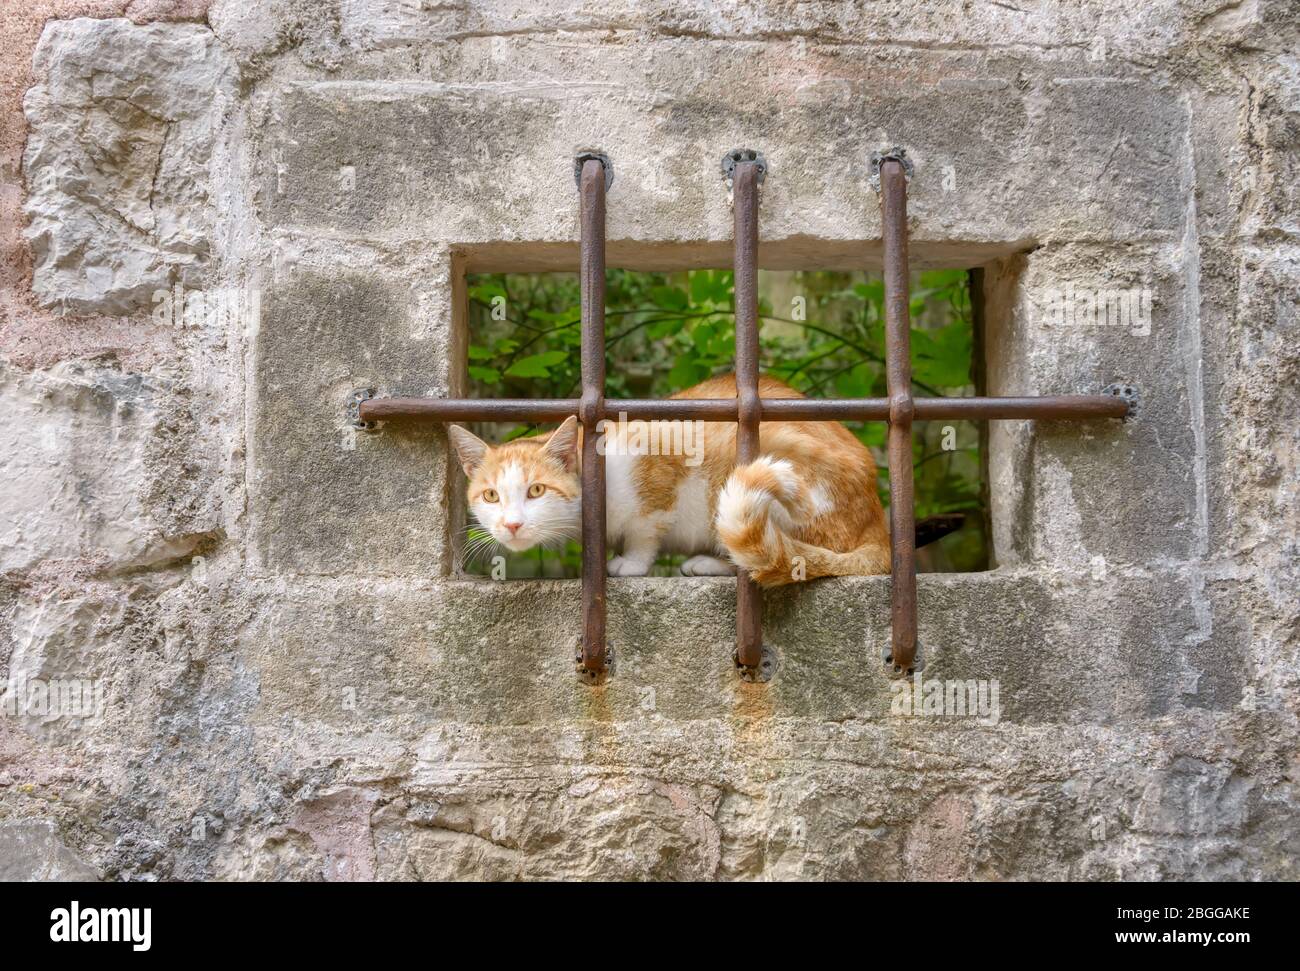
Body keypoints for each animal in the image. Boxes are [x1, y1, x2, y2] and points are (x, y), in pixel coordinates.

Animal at [449, 369, 894, 584]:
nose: (511, 524)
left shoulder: (660, 460)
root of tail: (879, 530)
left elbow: (646, 529)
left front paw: (631, 563)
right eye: (491, 496)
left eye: (537, 490)